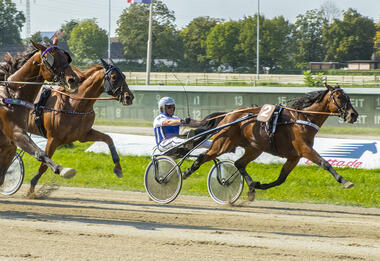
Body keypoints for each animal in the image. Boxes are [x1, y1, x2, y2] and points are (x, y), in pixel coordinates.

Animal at [0, 39, 80, 185]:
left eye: (65, 57)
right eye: (51, 58)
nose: (73, 80)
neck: (11, 95)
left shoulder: (8, 147)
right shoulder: (15, 132)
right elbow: (40, 152)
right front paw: (63, 169)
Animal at [26, 58, 134, 194]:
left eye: (124, 76)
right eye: (114, 77)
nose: (129, 97)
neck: (74, 105)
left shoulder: (83, 135)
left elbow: (108, 139)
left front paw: (118, 168)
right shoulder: (53, 139)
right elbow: (44, 164)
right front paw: (31, 188)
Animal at [184, 83, 360, 199]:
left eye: (349, 97)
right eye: (339, 97)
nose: (354, 115)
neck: (303, 118)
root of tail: (228, 115)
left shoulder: (294, 156)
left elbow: (281, 179)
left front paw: (260, 185)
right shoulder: (304, 149)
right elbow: (325, 163)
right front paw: (345, 181)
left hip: (254, 148)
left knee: (239, 163)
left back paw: (251, 187)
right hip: (223, 143)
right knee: (203, 157)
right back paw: (183, 174)